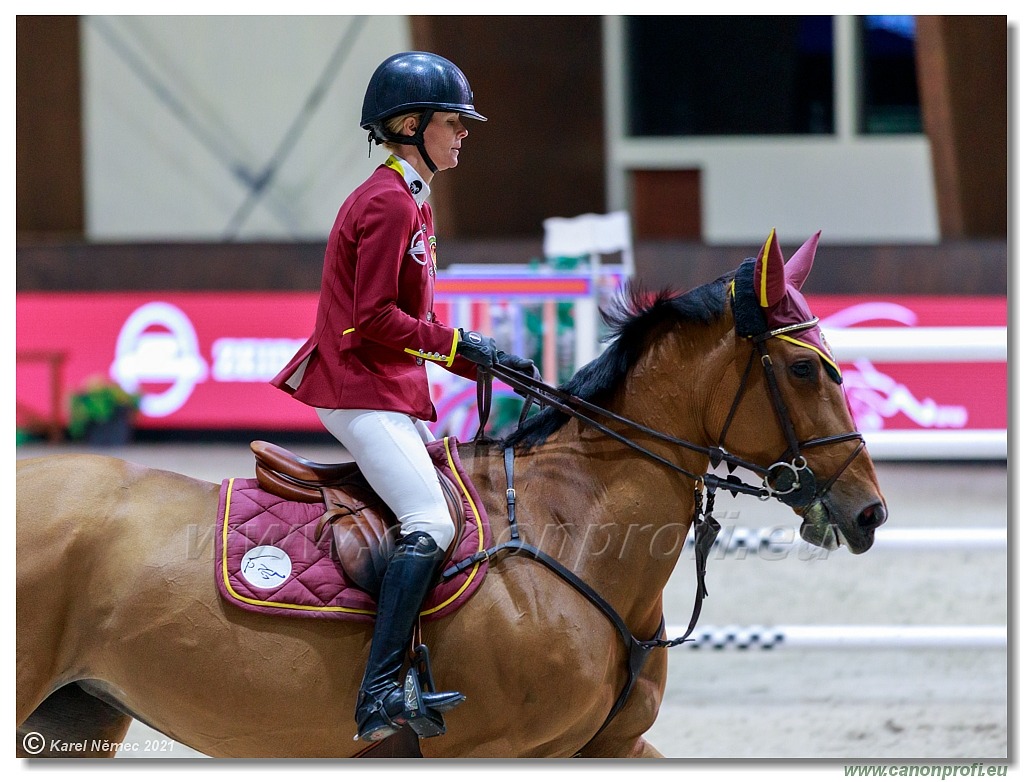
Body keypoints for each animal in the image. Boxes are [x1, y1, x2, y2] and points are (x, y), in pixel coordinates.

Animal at [16, 229, 884, 753]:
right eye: (803, 368)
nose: (869, 511)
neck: (575, 530)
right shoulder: (496, 750)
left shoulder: (609, 745)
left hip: (73, 713)